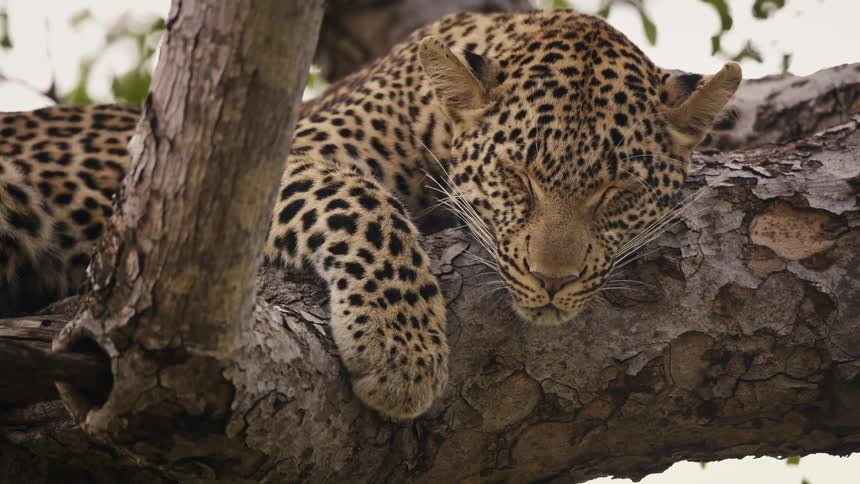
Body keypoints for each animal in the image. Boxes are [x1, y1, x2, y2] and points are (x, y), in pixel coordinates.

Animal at [0, 9, 740, 419]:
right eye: (516, 177)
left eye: (617, 192)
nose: (551, 281)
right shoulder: (268, 159)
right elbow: (362, 204)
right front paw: (402, 350)